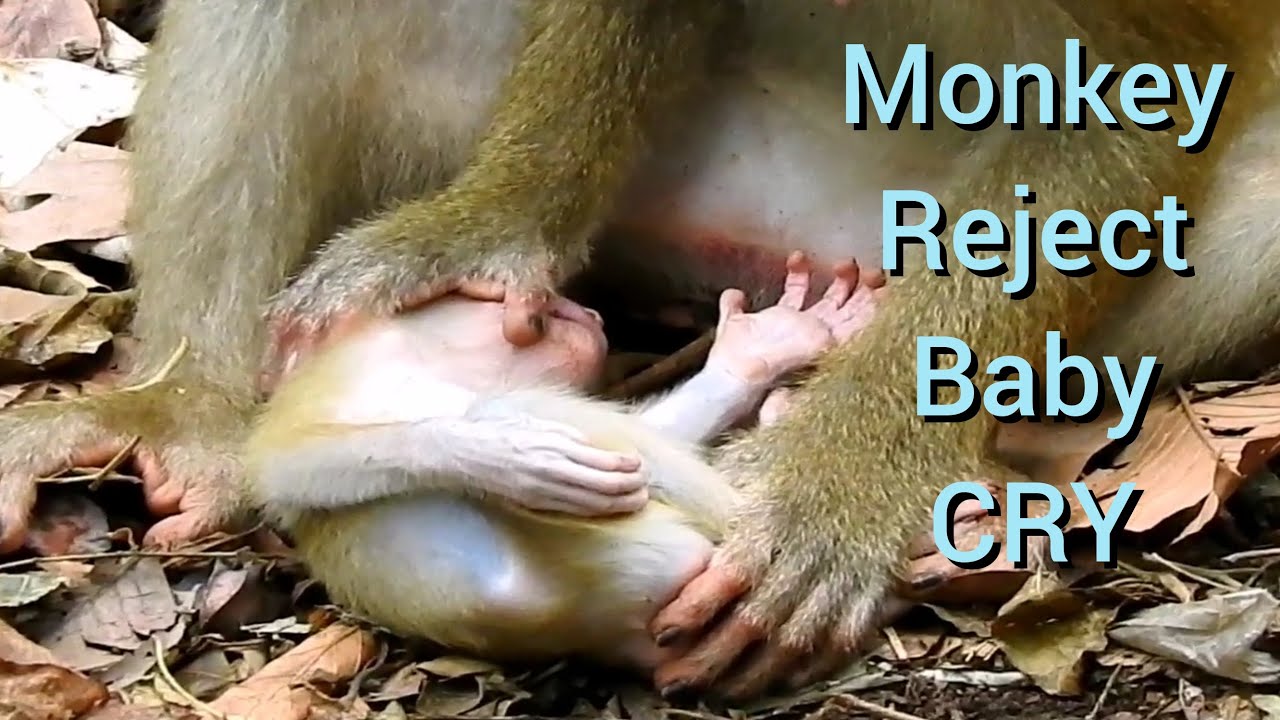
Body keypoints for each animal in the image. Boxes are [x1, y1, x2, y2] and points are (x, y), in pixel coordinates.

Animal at [245, 255, 879, 669]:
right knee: (519, 408)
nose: (583, 308)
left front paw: (761, 350)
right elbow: (284, 470)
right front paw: (514, 459)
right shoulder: (333, 387)